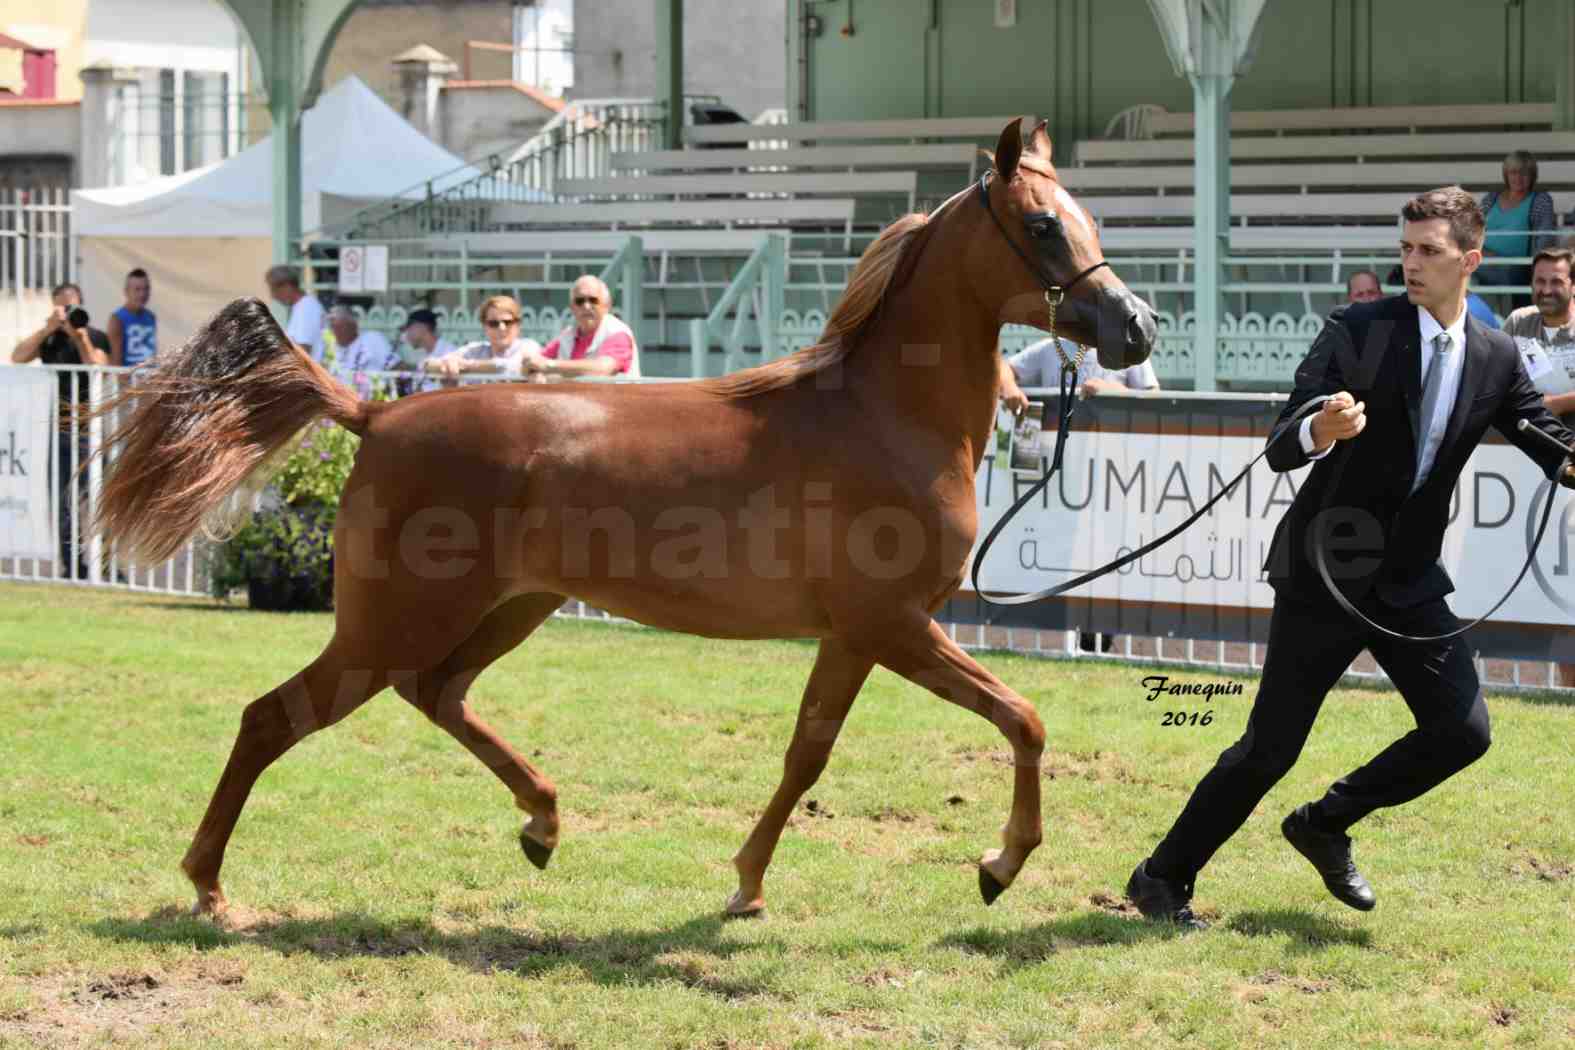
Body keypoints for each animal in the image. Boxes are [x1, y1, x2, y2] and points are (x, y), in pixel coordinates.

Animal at [98, 117, 1159, 919]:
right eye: (1042, 225)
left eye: (1083, 217)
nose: (1136, 327)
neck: (879, 414)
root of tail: (377, 412)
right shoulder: (890, 627)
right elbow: (1017, 718)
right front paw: (998, 865)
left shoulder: (854, 636)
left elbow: (810, 751)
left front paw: (746, 886)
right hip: (388, 624)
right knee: (273, 717)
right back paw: (209, 890)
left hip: (506, 610)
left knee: (436, 694)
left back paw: (542, 823)